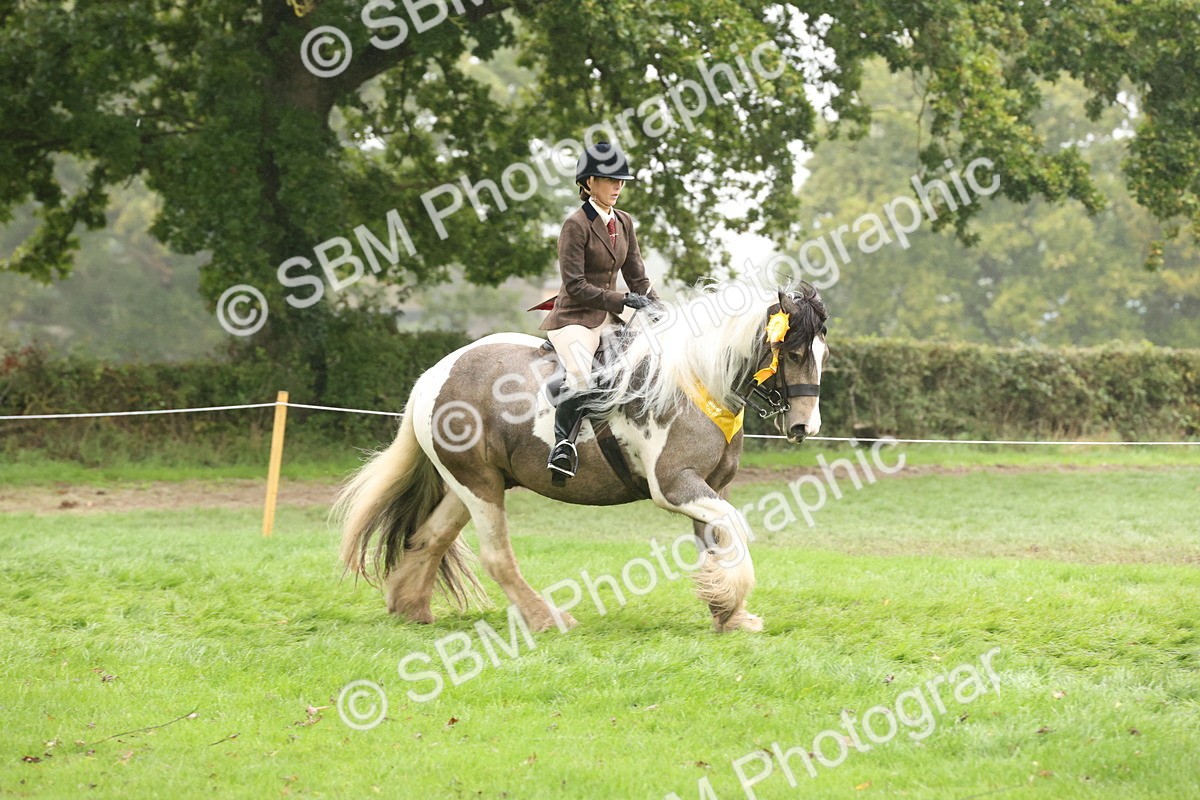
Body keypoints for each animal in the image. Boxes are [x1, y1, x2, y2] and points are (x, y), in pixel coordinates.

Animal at [334, 281, 830, 633]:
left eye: (822, 352)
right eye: (795, 352)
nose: (805, 427)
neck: (696, 380)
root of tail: (433, 376)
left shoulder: (710, 487)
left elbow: (718, 539)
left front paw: (728, 611)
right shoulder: (675, 485)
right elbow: (735, 527)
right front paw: (729, 603)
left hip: (472, 482)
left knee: (430, 537)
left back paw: (409, 606)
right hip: (478, 486)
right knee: (496, 556)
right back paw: (546, 619)